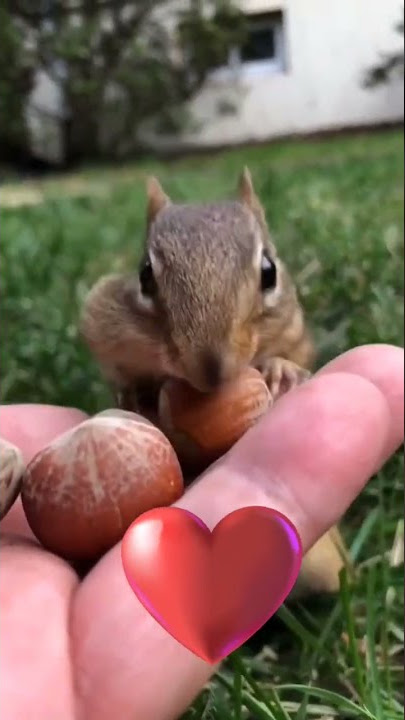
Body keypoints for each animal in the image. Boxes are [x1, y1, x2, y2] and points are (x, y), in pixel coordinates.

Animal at [79, 167, 350, 596]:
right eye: (145, 275)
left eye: (269, 272)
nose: (211, 368)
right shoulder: (102, 323)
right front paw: (134, 392)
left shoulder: (296, 332)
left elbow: (297, 358)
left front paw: (281, 370)